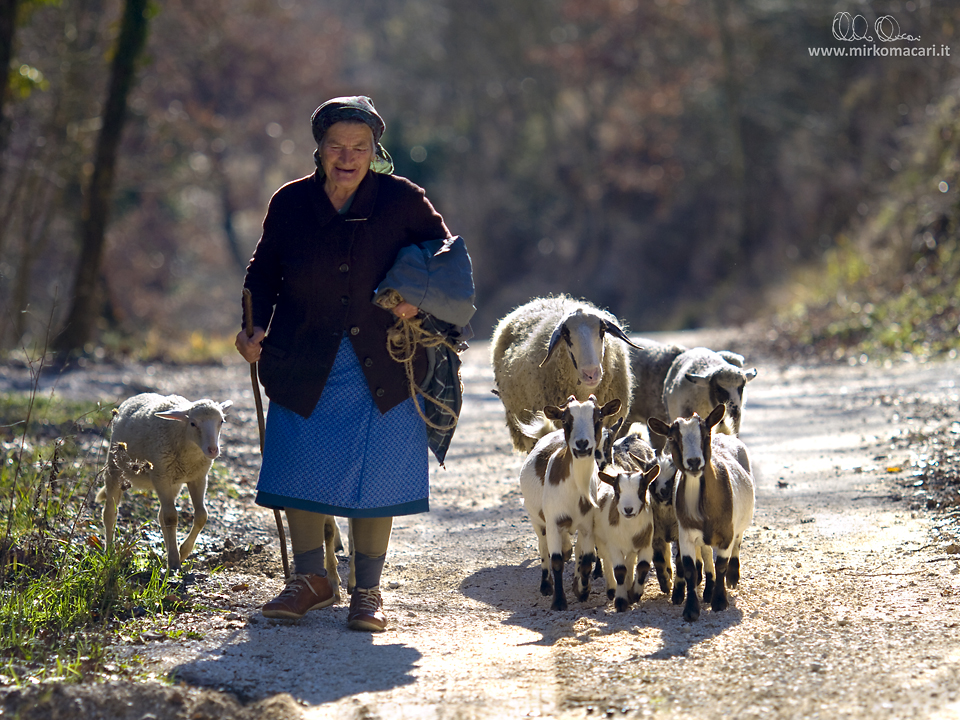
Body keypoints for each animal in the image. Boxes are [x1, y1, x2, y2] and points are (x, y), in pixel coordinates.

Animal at [97, 390, 232, 572]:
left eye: (221, 421)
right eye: (193, 423)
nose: (213, 450)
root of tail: (137, 396)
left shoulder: (198, 477)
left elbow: (201, 515)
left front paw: (182, 552)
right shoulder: (161, 476)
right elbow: (171, 518)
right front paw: (175, 561)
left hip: (173, 483)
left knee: (161, 515)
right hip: (115, 468)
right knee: (110, 512)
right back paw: (109, 551)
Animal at [592, 458, 660, 612]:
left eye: (641, 490)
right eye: (617, 492)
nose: (628, 509)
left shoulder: (646, 544)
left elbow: (642, 566)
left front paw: (634, 594)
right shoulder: (614, 546)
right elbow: (619, 570)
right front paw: (621, 601)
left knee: (630, 561)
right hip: (601, 541)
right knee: (607, 560)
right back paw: (612, 590)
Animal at [648, 402, 752, 620]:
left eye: (705, 434)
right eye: (672, 438)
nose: (694, 461)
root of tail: (725, 436)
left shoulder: (726, 533)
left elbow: (721, 564)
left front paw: (720, 602)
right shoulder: (686, 535)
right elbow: (690, 569)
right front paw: (691, 610)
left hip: (741, 521)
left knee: (738, 542)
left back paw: (732, 577)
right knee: (705, 554)